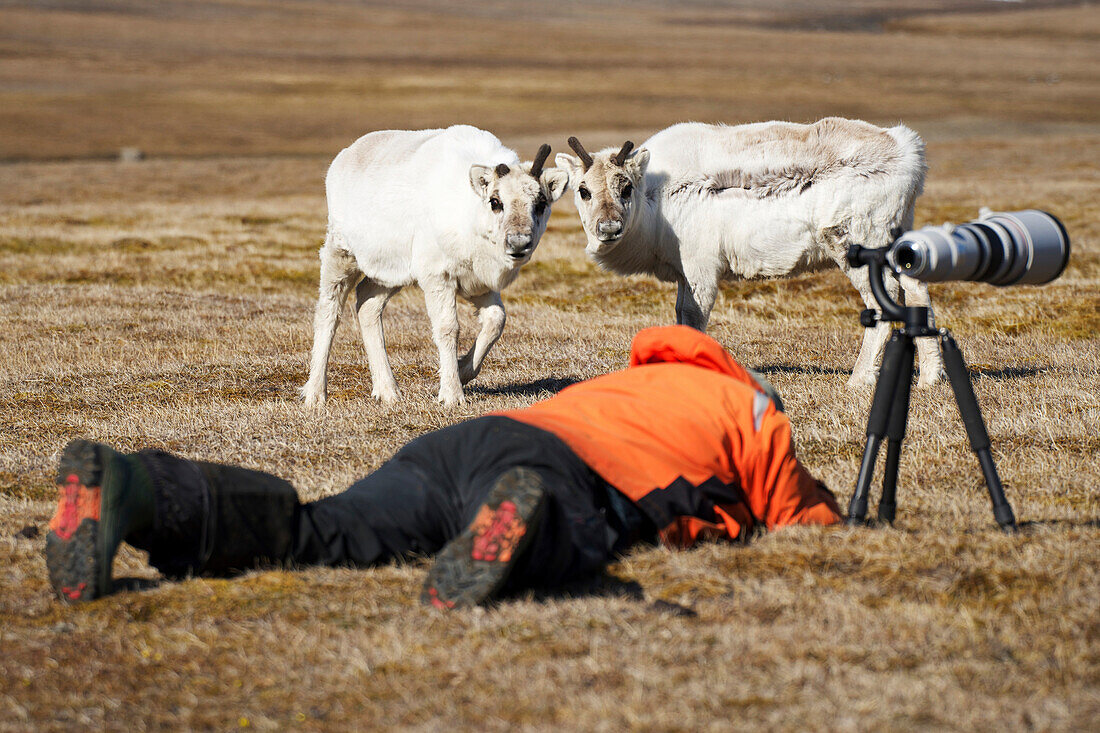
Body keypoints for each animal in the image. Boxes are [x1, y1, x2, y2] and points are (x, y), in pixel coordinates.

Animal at [303, 125, 567, 405]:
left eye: (541, 203)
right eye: (495, 201)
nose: (518, 243)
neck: (469, 213)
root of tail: (342, 158)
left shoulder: (479, 283)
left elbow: (497, 320)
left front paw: (462, 371)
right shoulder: (438, 278)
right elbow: (448, 328)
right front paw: (451, 394)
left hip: (390, 275)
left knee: (367, 303)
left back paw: (388, 391)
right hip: (341, 254)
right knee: (328, 312)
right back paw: (315, 394)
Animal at [558, 117, 946, 385]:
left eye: (625, 188)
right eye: (583, 190)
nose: (609, 228)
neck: (655, 195)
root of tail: (908, 150)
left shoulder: (701, 268)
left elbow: (693, 317)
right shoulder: (684, 272)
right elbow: (681, 315)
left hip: (857, 244)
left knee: (885, 300)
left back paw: (860, 379)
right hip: (897, 237)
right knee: (917, 290)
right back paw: (930, 378)